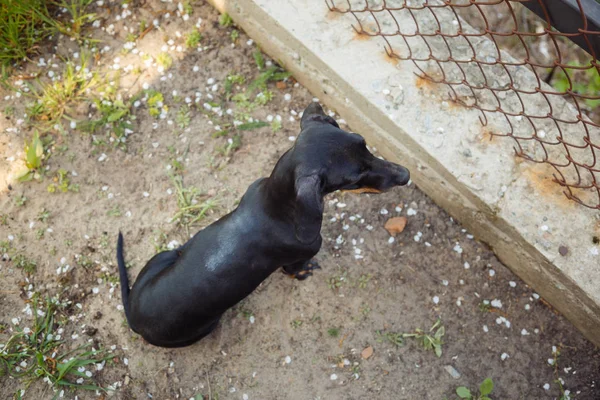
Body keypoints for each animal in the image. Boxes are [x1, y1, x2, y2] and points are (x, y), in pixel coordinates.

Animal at [116, 102, 408, 346]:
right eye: (353, 180)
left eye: (363, 142)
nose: (405, 175)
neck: (276, 206)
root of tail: (134, 320)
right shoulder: (299, 256)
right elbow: (295, 269)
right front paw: (305, 272)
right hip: (207, 325)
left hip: (163, 255)